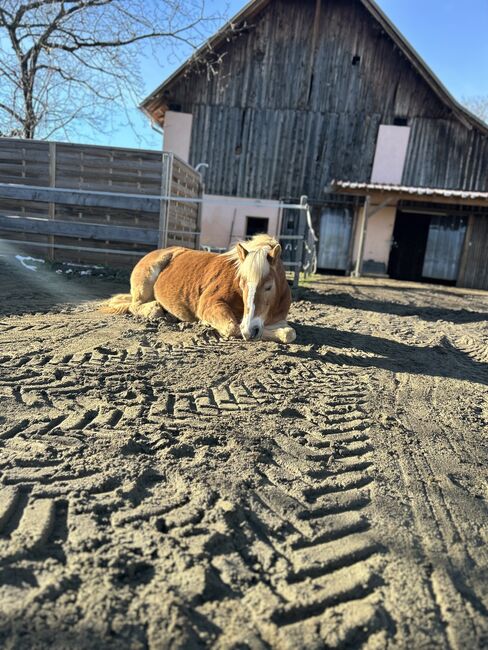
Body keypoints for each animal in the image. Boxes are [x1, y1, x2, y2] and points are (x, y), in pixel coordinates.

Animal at [101, 234, 296, 344]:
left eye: (269, 286)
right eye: (240, 284)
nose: (250, 330)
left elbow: (289, 333)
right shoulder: (210, 304)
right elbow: (233, 327)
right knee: (134, 305)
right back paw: (155, 309)